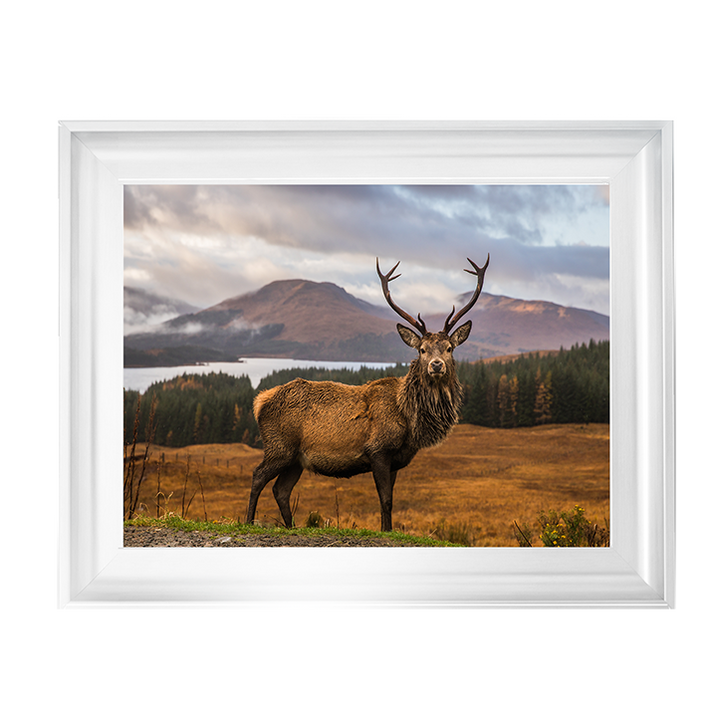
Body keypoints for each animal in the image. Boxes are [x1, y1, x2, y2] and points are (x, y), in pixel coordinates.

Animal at [245, 255, 490, 532]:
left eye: (449, 348)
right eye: (422, 350)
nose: (436, 365)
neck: (409, 420)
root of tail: (260, 401)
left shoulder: (396, 459)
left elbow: (390, 499)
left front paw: (387, 529)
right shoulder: (378, 449)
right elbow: (385, 500)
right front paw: (386, 530)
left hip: (296, 459)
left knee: (281, 490)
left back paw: (290, 526)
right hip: (279, 446)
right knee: (257, 476)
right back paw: (248, 521)